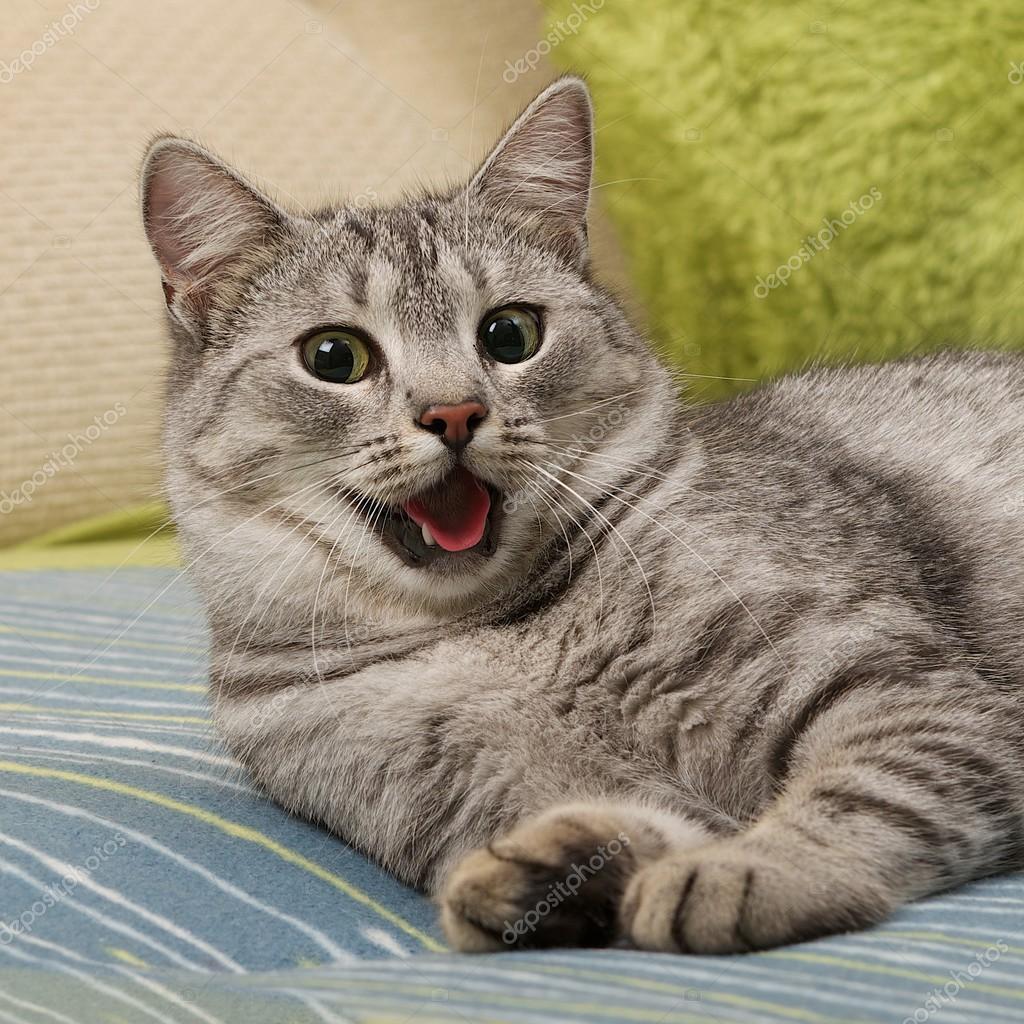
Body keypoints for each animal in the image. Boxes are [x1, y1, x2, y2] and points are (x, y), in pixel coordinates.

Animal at [140, 75, 1024, 954]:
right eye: (334, 357)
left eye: (510, 334)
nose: (453, 413)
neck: (501, 633)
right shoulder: (449, 784)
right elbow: (623, 819)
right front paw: (549, 869)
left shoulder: (892, 683)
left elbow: (864, 788)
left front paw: (752, 867)